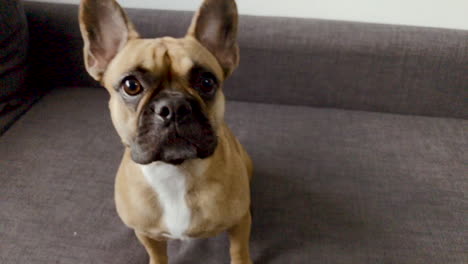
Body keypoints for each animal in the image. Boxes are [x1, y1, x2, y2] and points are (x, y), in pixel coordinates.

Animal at [78, 0, 252, 264]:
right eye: (131, 85)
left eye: (207, 82)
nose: (173, 106)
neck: (175, 171)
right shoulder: (146, 233)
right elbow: (157, 254)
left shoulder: (240, 222)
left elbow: (239, 251)